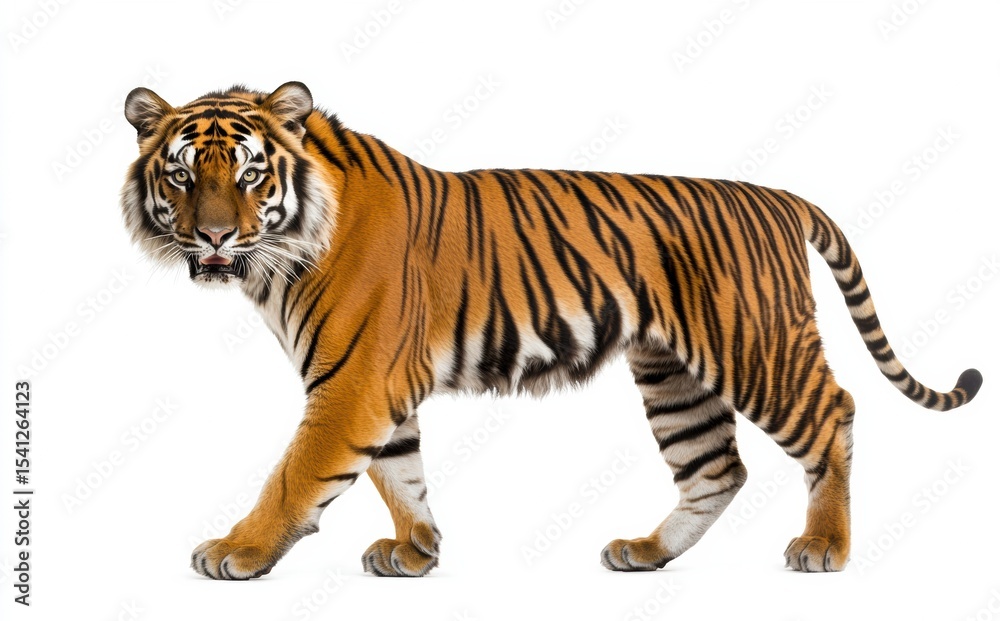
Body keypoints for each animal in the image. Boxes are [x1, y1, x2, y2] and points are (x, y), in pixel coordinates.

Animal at [120, 81, 981, 579]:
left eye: (250, 173)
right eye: (183, 174)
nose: (214, 237)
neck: (282, 253)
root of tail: (778, 196)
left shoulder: (352, 380)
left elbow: (298, 473)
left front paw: (236, 550)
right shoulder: (377, 383)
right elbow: (400, 470)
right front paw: (417, 550)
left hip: (755, 345)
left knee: (833, 413)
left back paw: (824, 547)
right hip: (672, 372)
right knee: (716, 467)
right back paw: (647, 553)